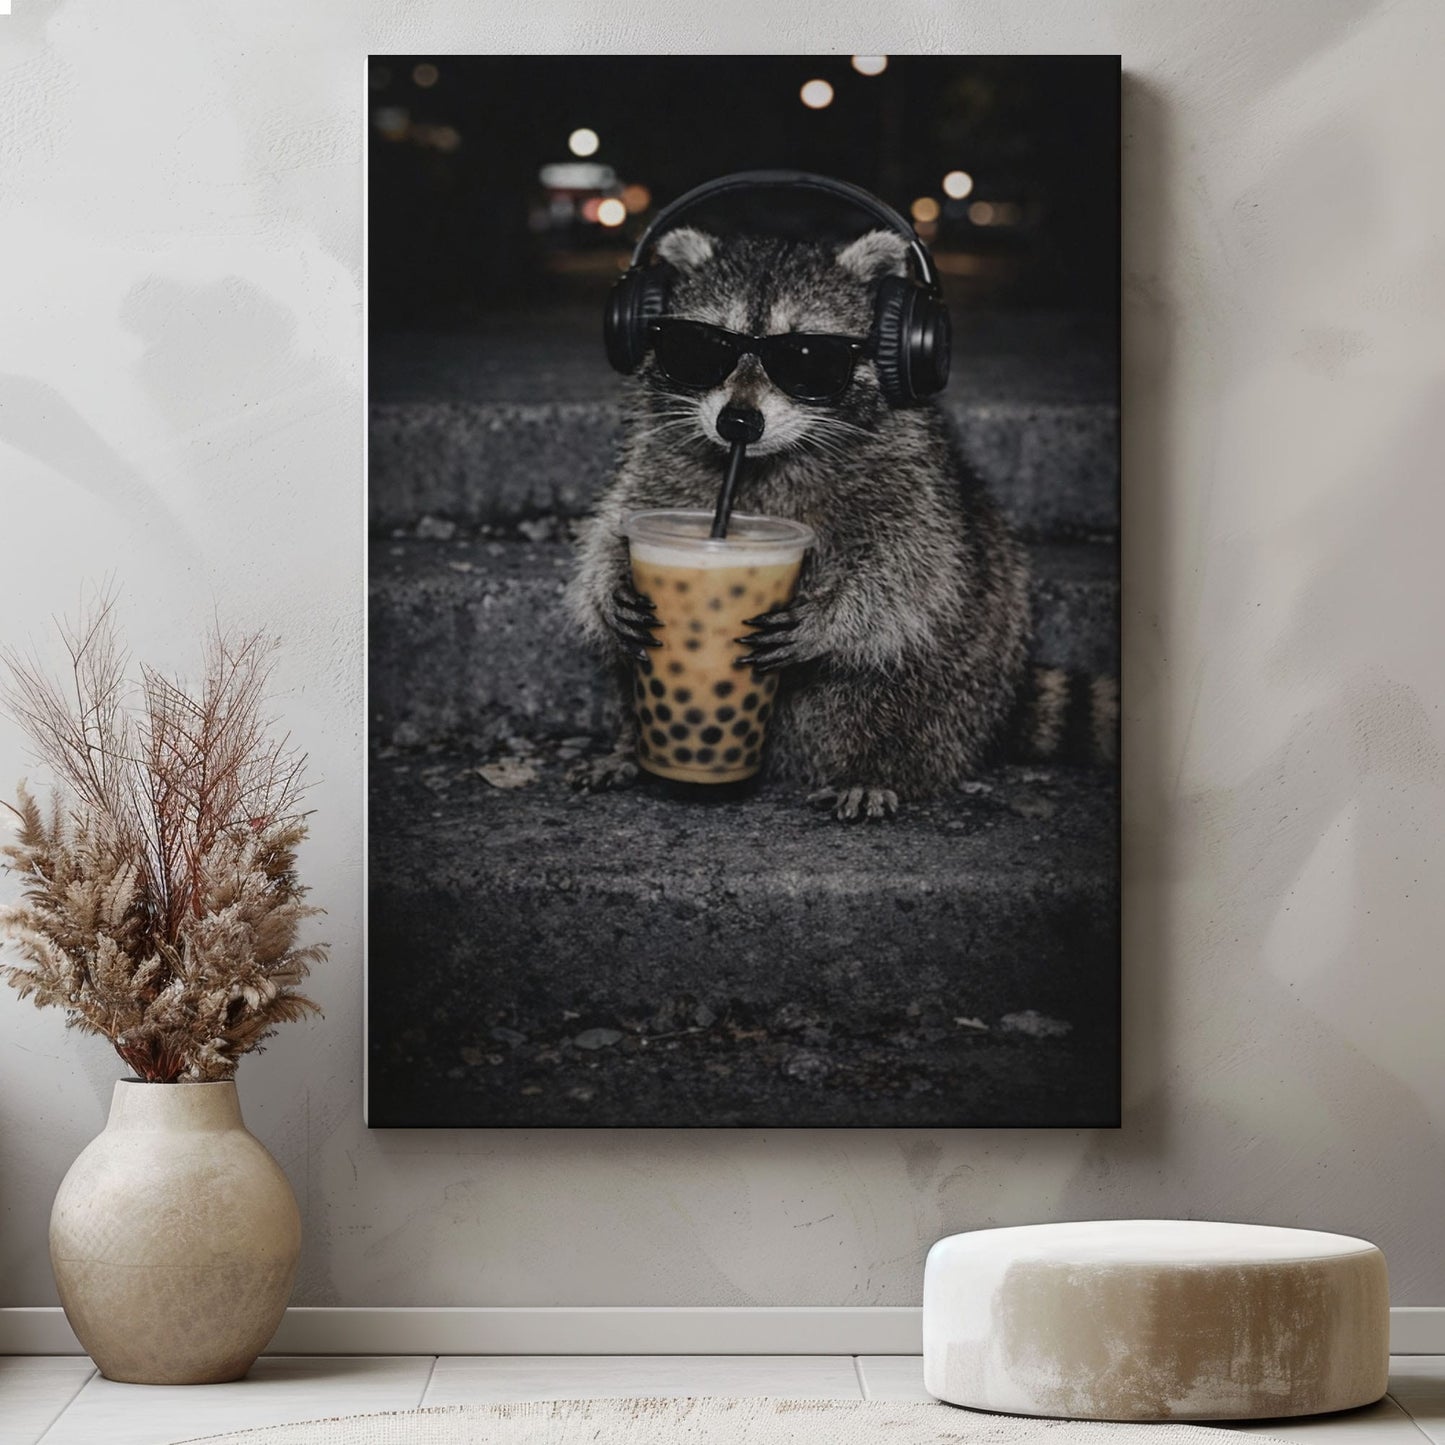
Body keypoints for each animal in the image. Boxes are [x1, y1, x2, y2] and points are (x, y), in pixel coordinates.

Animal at [565, 226, 1114, 819]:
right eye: (701, 348)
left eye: (807, 357)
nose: (738, 421)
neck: (764, 461)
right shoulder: (659, 458)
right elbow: (613, 523)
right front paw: (610, 584)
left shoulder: (911, 472)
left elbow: (916, 566)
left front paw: (831, 615)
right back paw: (628, 745)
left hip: (970, 664)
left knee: (903, 681)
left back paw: (877, 767)